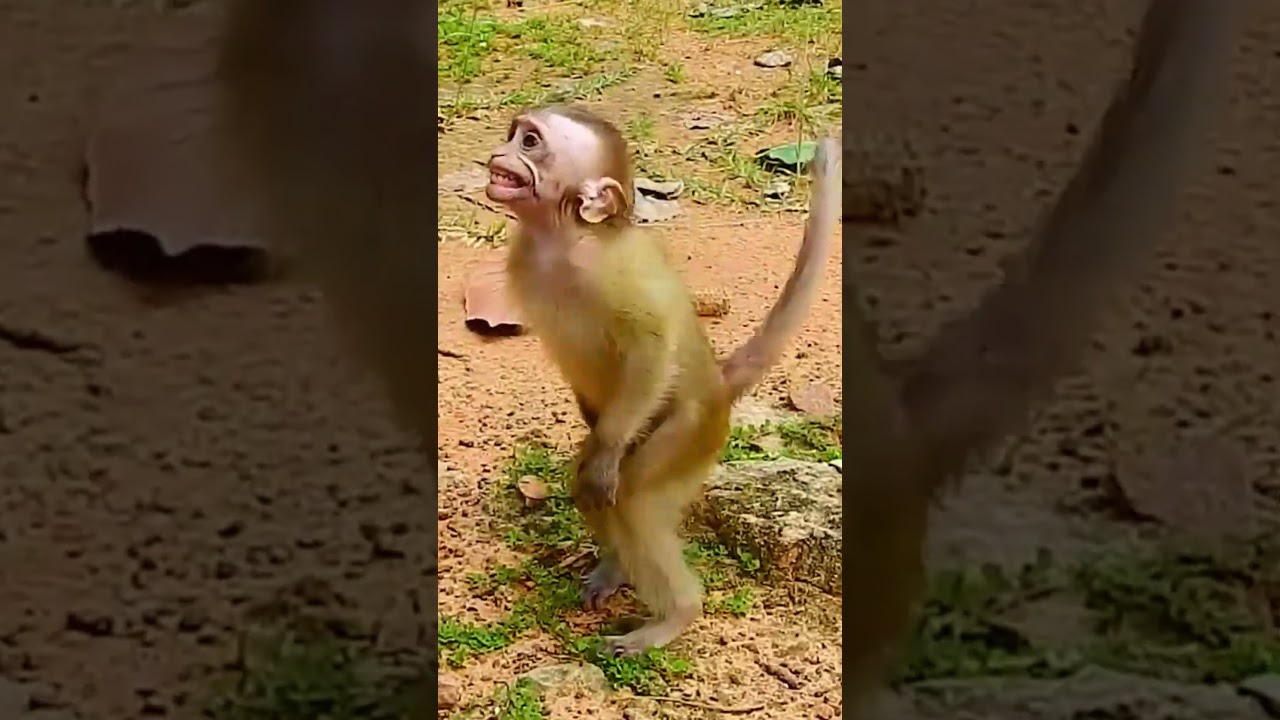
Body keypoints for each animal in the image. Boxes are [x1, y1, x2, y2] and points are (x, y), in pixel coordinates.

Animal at [485, 105, 841, 656]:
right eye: (514, 136)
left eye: (530, 142)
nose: (498, 153)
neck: (561, 241)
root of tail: (719, 387)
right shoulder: (521, 263)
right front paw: (595, 437)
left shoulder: (618, 272)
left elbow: (653, 348)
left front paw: (607, 448)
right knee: (596, 485)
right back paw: (615, 564)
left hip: (692, 432)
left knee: (633, 495)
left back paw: (676, 615)